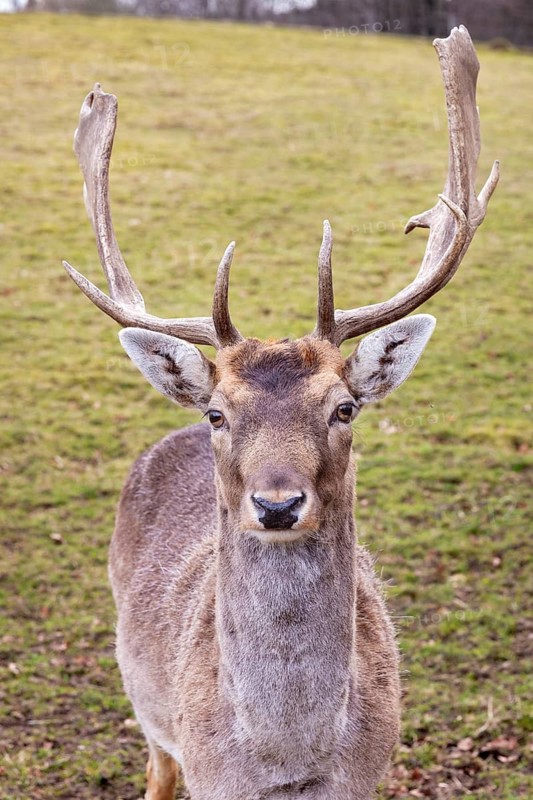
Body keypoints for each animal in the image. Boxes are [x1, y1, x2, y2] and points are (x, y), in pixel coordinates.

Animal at [63, 26, 498, 800]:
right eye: (218, 414)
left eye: (345, 408)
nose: (275, 504)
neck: (289, 759)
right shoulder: (208, 771)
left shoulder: (367, 773)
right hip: (146, 706)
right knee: (155, 768)